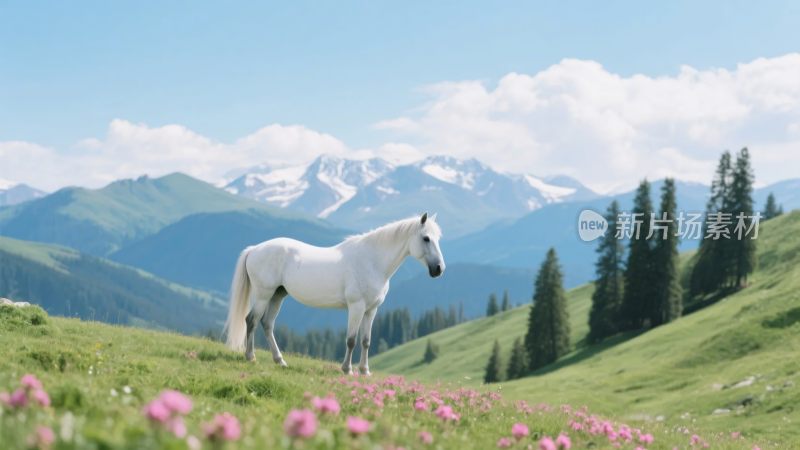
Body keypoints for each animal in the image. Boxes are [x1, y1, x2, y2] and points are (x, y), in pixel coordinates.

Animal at [224, 212, 445, 375]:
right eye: (426, 238)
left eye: (438, 238)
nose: (439, 269)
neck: (372, 260)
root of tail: (254, 249)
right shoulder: (356, 307)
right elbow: (351, 340)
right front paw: (347, 369)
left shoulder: (371, 310)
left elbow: (366, 341)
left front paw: (365, 371)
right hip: (264, 294)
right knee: (251, 320)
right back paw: (251, 357)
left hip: (278, 295)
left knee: (267, 324)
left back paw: (280, 361)